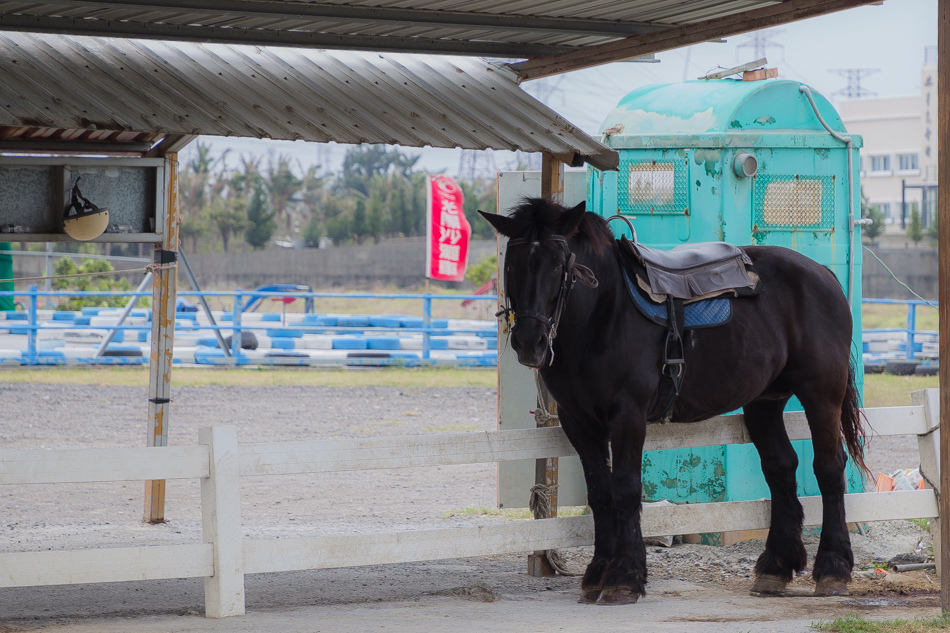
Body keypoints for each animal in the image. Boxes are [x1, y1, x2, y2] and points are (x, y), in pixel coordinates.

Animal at [484, 196, 872, 604]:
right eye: (511, 263)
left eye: (559, 264)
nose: (530, 342)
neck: (602, 312)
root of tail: (823, 275)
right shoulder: (579, 423)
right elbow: (600, 493)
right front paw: (597, 573)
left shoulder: (627, 415)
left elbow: (625, 489)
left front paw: (624, 577)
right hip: (764, 402)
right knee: (781, 468)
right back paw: (775, 567)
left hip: (821, 395)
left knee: (829, 467)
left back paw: (832, 568)